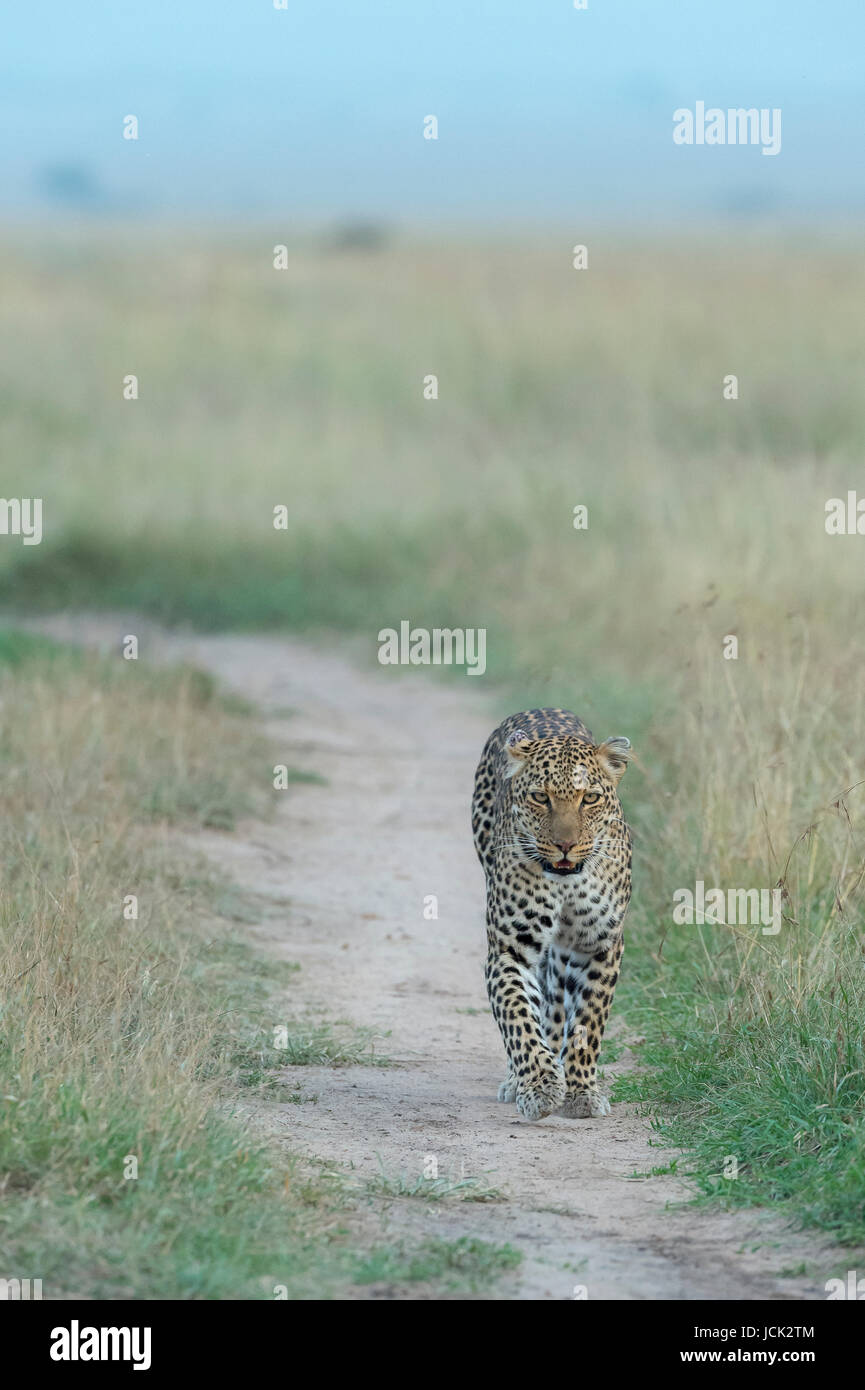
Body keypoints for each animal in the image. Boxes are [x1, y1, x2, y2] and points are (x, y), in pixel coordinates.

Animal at [471, 708, 633, 1122]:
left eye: (589, 798)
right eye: (540, 798)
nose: (565, 846)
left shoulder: (599, 947)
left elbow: (588, 1023)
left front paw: (581, 1092)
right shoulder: (510, 950)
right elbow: (518, 1018)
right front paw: (540, 1087)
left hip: (563, 955)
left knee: (556, 1003)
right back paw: (518, 1080)